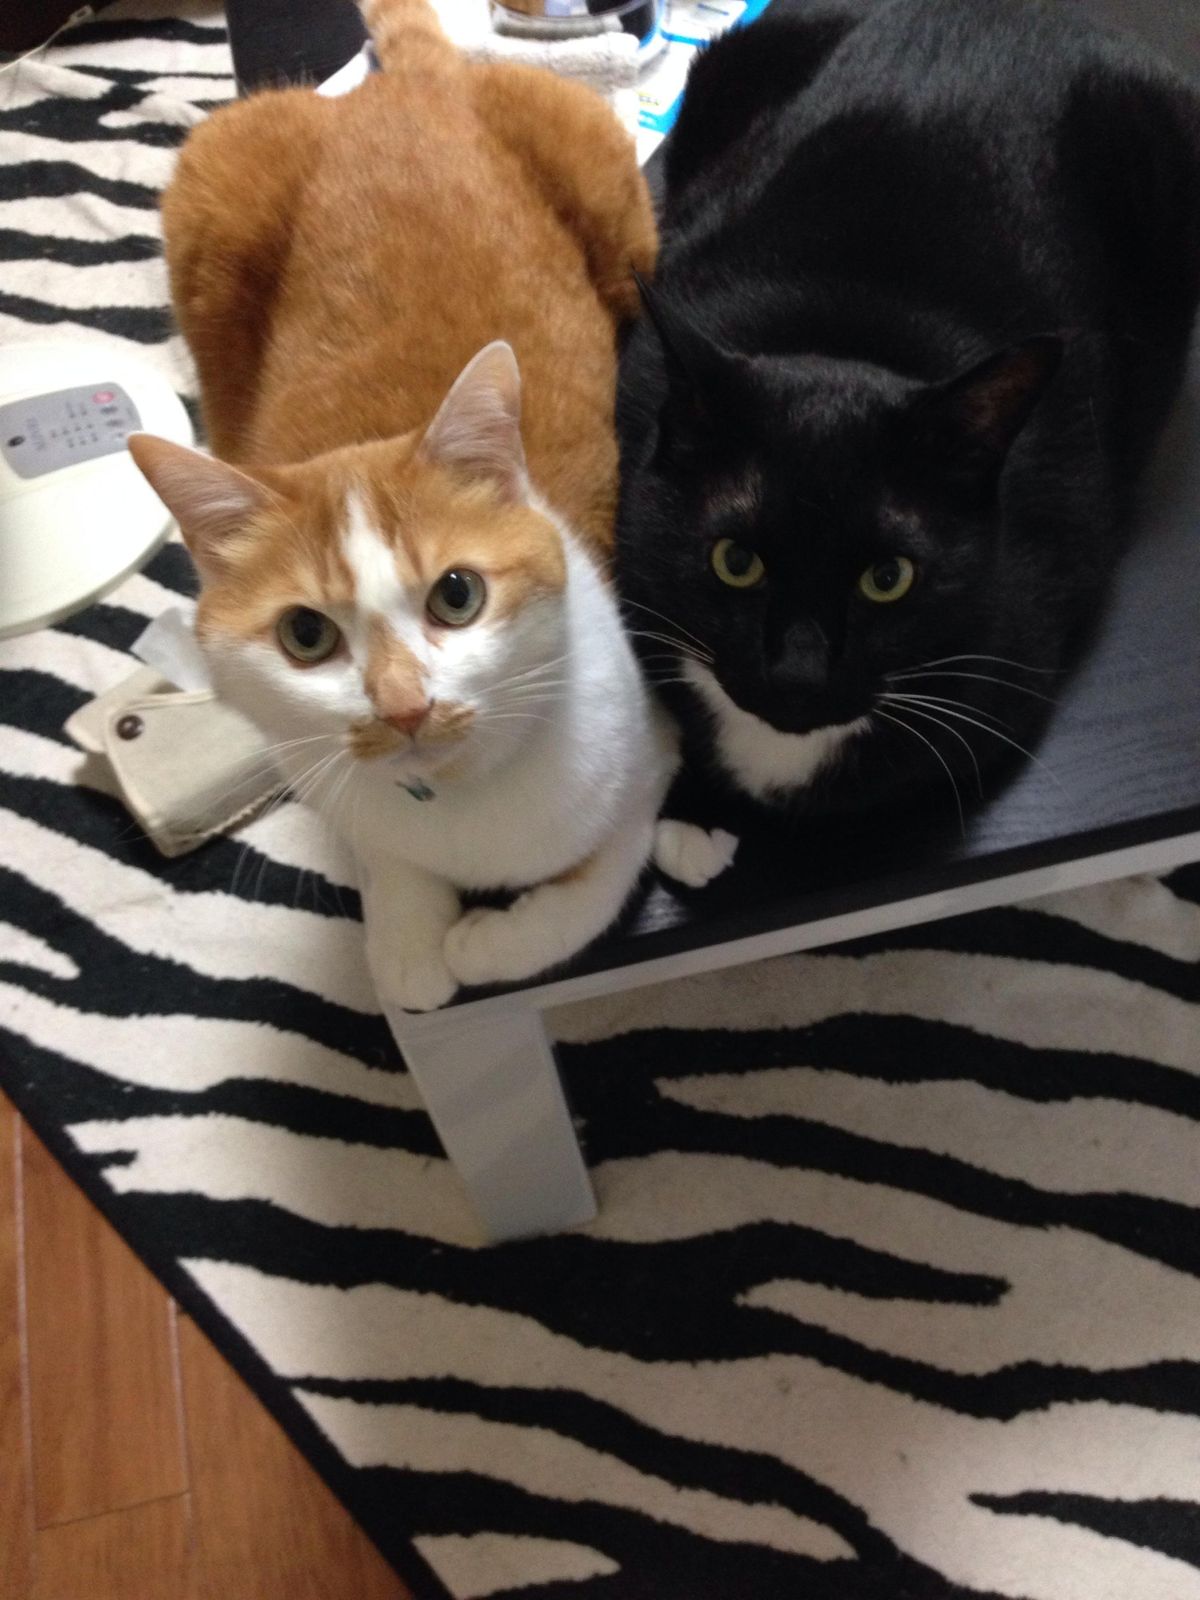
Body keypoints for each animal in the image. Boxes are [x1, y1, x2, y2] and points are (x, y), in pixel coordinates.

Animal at [129, 0, 727, 1012]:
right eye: (305, 636)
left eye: (458, 596)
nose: (404, 707)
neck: (455, 799)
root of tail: (406, 92)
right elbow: (391, 872)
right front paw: (410, 947)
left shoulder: (648, 756)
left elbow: (595, 883)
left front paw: (487, 945)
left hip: (611, 193)